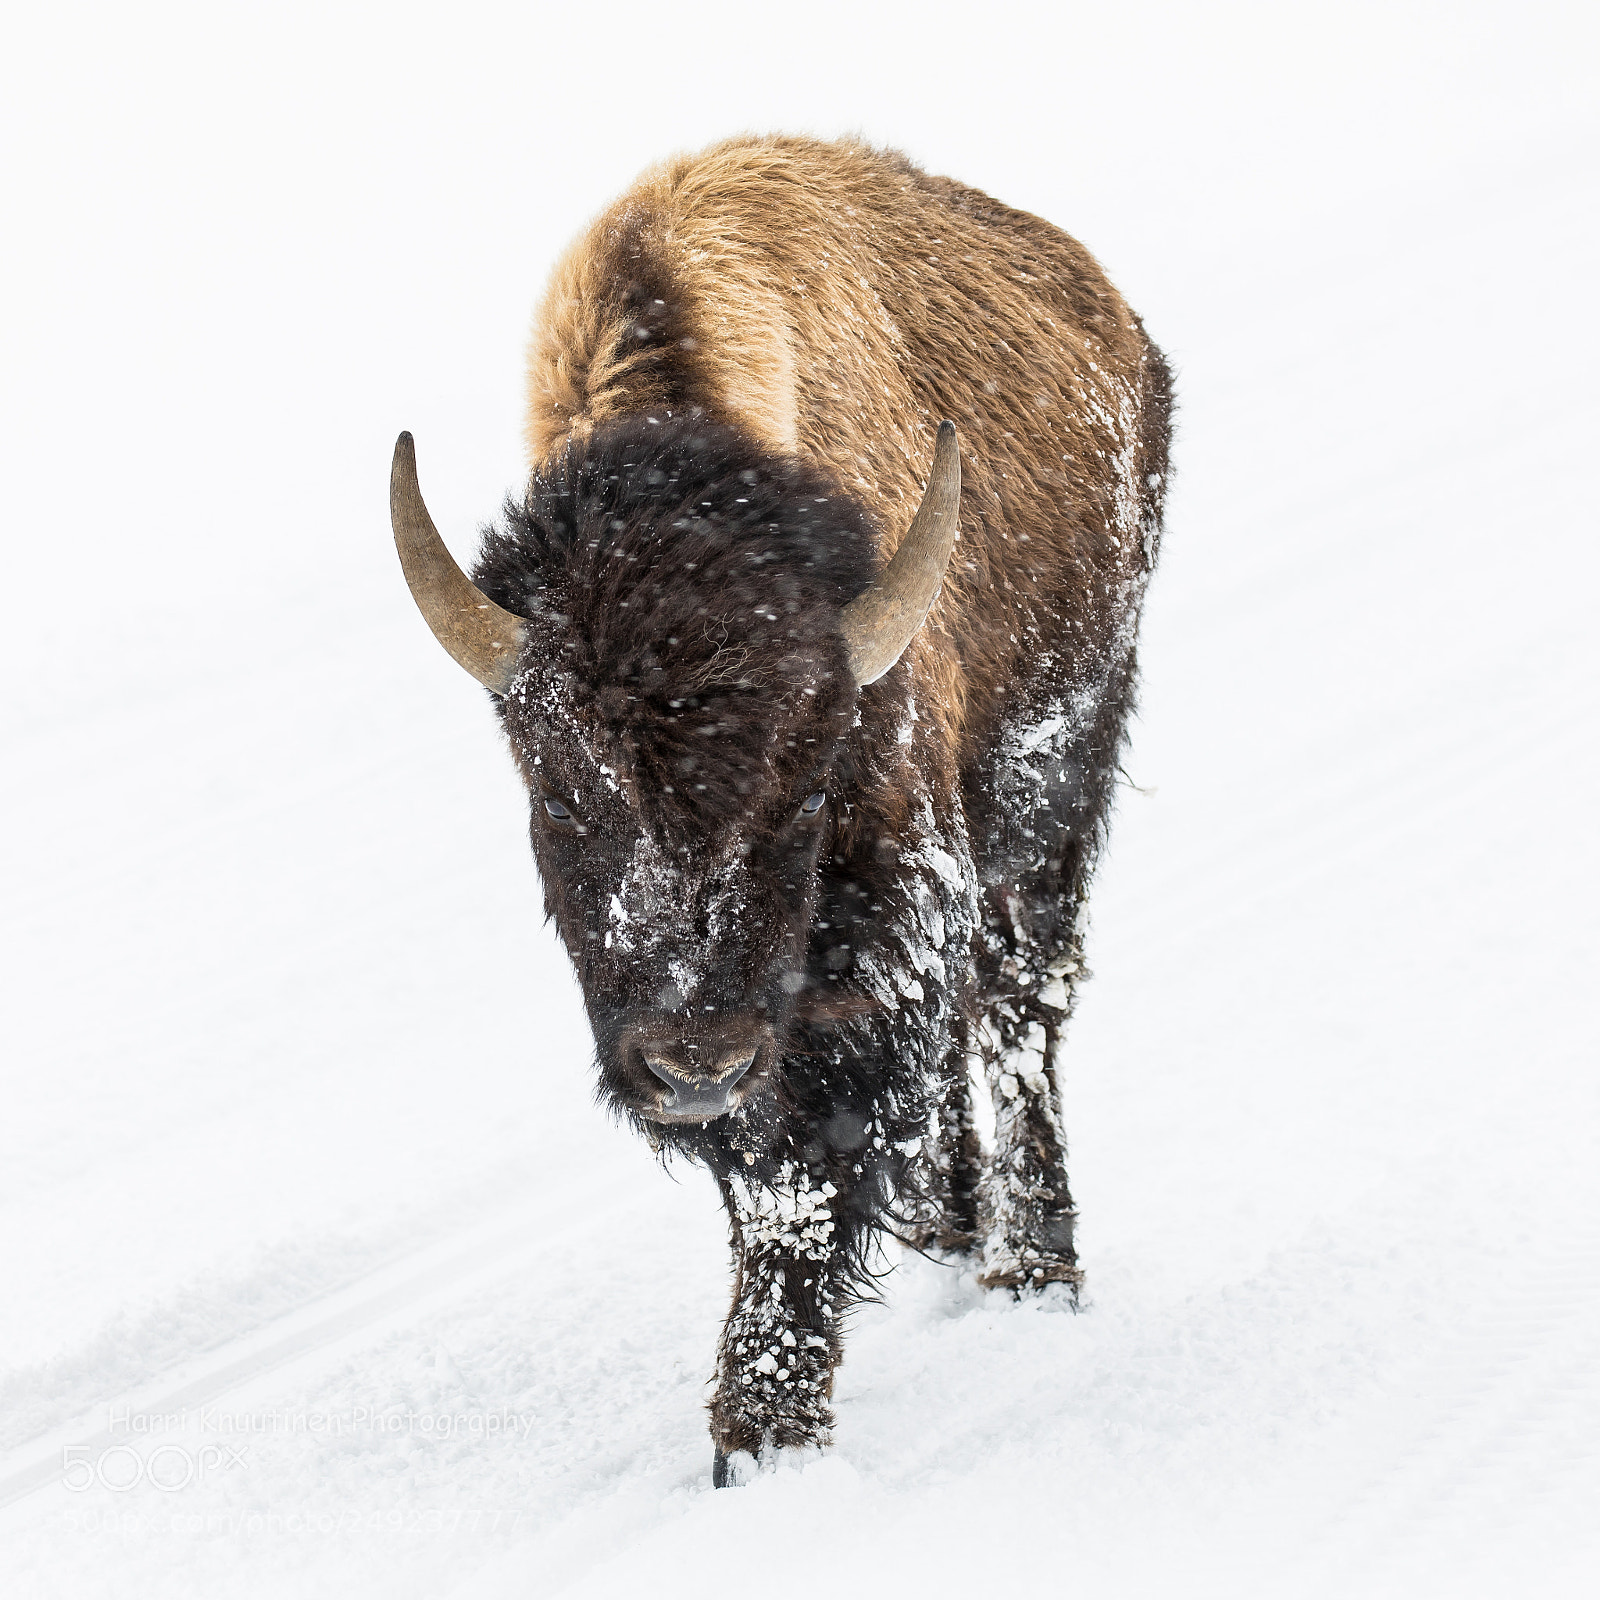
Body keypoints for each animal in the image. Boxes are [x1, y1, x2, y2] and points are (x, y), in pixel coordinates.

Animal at [390, 135, 1171, 1485]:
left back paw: (1031, 1266)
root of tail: (1113, 321)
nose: (694, 1061)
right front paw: (761, 1429)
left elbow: (804, 1171)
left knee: (1019, 1007)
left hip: (1053, 783)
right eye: (560, 794)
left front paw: (763, 1437)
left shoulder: (880, 918)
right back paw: (952, 1224)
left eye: (807, 780)